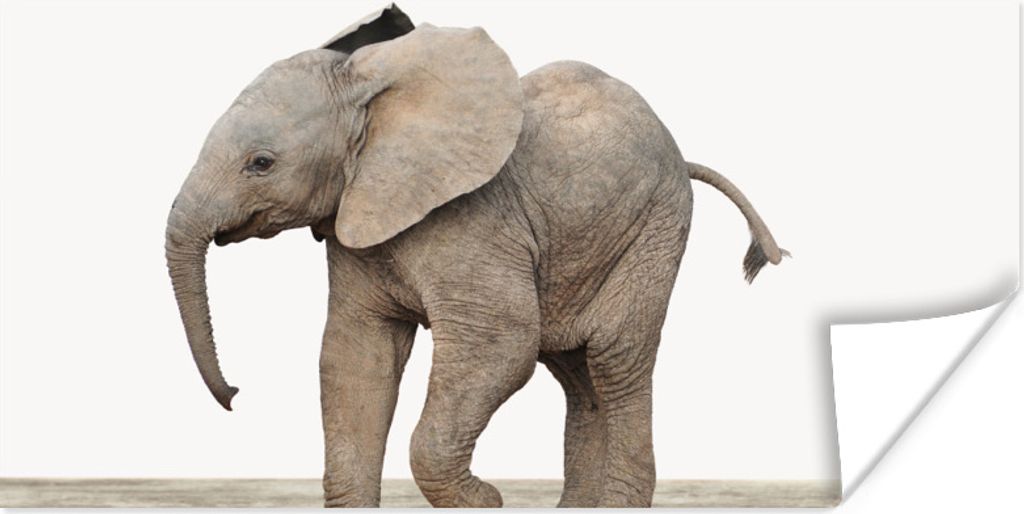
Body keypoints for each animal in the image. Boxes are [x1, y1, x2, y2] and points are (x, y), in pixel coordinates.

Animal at [165, 4, 786, 508]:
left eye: (260, 163)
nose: (236, 395)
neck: (376, 91)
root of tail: (683, 158)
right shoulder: (357, 219)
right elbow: (356, 357)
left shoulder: (474, 220)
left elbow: (501, 343)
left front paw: (487, 500)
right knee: (577, 371)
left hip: (655, 225)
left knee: (615, 357)